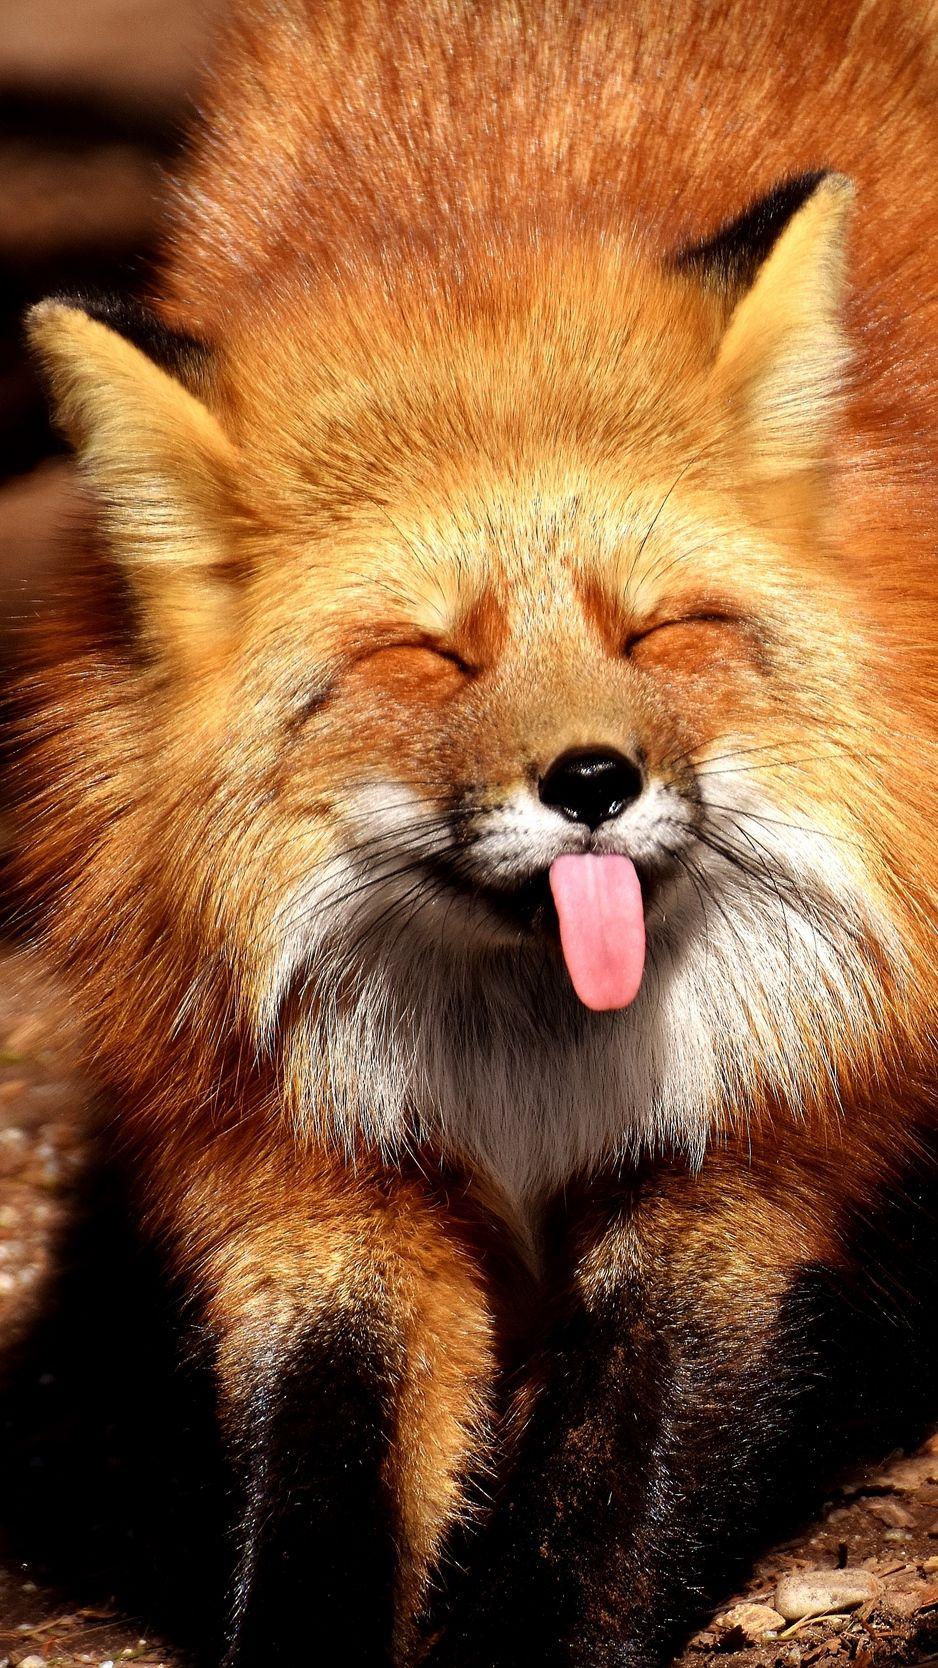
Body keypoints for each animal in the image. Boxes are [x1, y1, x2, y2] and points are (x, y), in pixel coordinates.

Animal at [8, 0, 938, 1662]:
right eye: (428, 655)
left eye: (654, 630)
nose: (591, 782)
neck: (531, 1066)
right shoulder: (306, 1166)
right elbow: (327, 1457)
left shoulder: (762, 1147)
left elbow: (615, 1478)